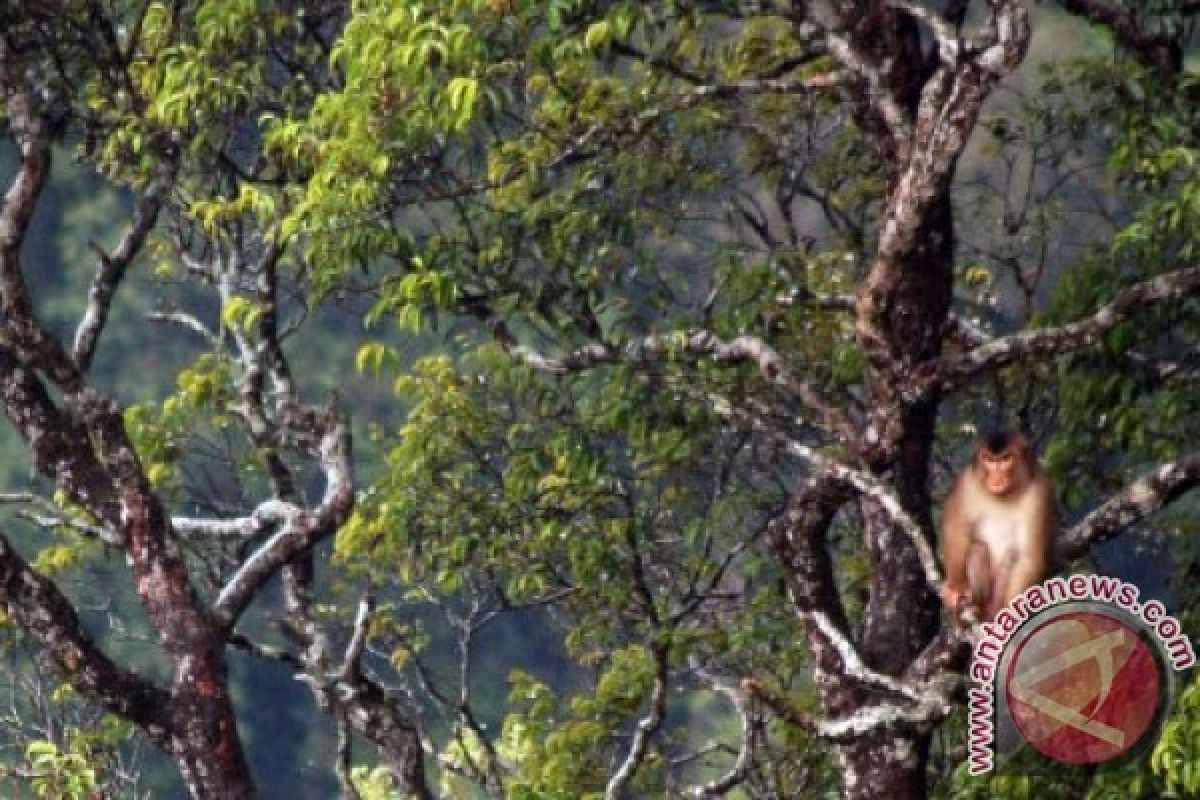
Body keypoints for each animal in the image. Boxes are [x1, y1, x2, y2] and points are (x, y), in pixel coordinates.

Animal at [940, 431, 1056, 623]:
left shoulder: (1041, 493)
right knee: (977, 548)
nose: (996, 477)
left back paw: (995, 613)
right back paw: (975, 604)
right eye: (988, 459)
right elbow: (957, 528)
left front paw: (1013, 614)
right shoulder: (968, 481)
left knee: (1012, 555)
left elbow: (1029, 557)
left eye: (1006, 459)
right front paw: (957, 587)